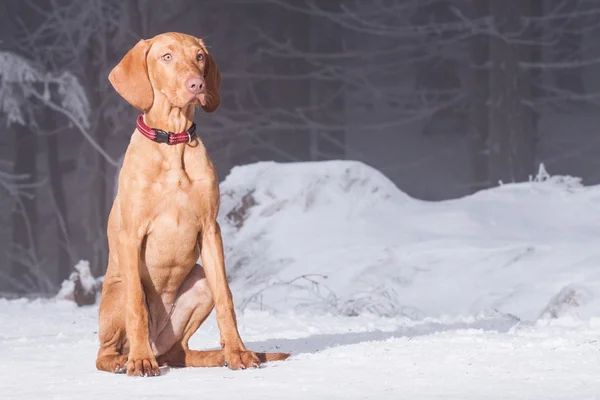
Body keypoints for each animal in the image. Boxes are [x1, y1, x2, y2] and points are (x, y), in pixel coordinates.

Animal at [94, 32, 290, 376]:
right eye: (166, 57)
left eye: (199, 57)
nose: (196, 84)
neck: (173, 142)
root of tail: (161, 348)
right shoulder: (131, 235)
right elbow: (136, 306)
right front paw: (140, 362)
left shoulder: (210, 231)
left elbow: (227, 297)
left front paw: (238, 352)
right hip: (116, 292)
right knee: (105, 350)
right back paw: (126, 359)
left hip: (199, 284)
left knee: (179, 350)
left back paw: (201, 355)